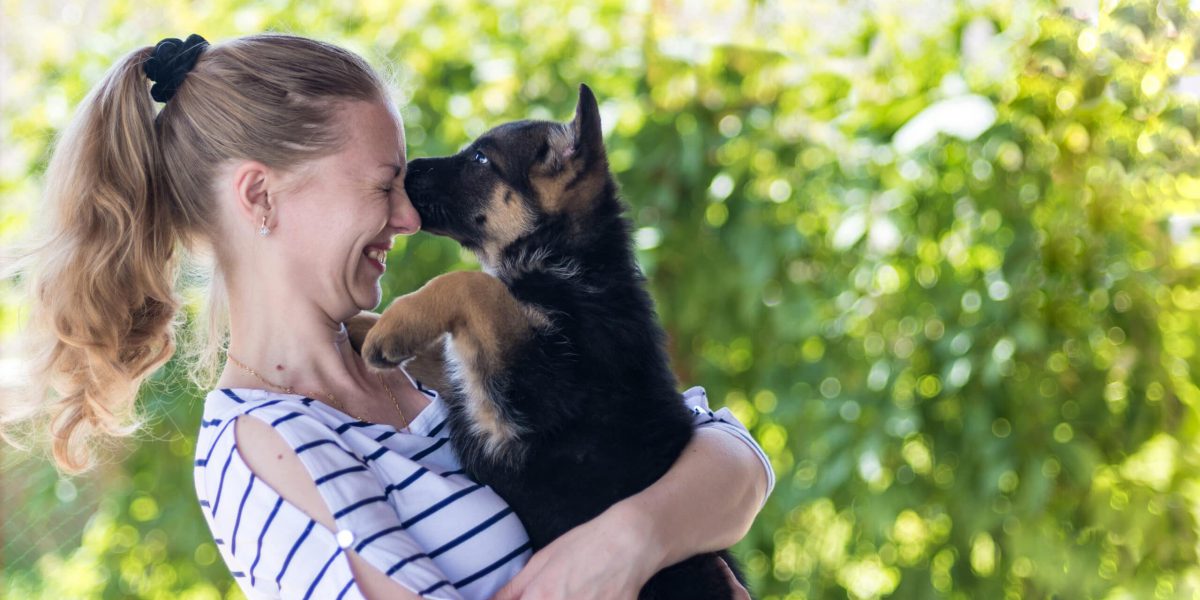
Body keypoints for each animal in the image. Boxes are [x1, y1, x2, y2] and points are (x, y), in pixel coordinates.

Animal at [350, 85, 739, 600]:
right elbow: (446, 336)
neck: (569, 262)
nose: (402, 171)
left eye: (480, 158)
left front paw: (392, 326)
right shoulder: (473, 383)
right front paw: (358, 326)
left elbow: (473, 284)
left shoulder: (525, 398)